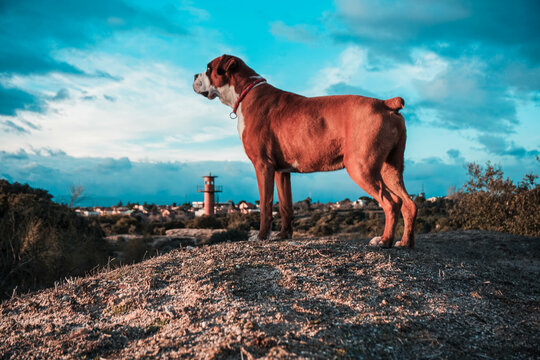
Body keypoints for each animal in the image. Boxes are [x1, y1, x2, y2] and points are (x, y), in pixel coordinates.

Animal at [194, 54, 418, 248]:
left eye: (209, 68)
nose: (195, 75)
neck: (246, 92)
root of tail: (385, 103)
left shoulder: (262, 166)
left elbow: (266, 205)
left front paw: (261, 236)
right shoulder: (281, 172)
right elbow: (285, 207)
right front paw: (283, 235)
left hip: (360, 167)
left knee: (392, 202)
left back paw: (384, 241)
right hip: (390, 169)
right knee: (408, 204)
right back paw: (405, 242)